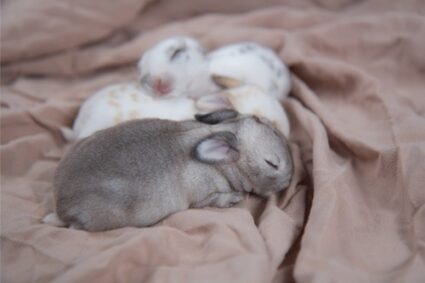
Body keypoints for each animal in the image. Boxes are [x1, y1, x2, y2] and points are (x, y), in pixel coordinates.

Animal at [44, 110, 294, 232]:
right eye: (272, 164)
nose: (290, 178)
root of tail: (61, 205)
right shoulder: (204, 197)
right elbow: (217, 200)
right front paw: (234, 198)